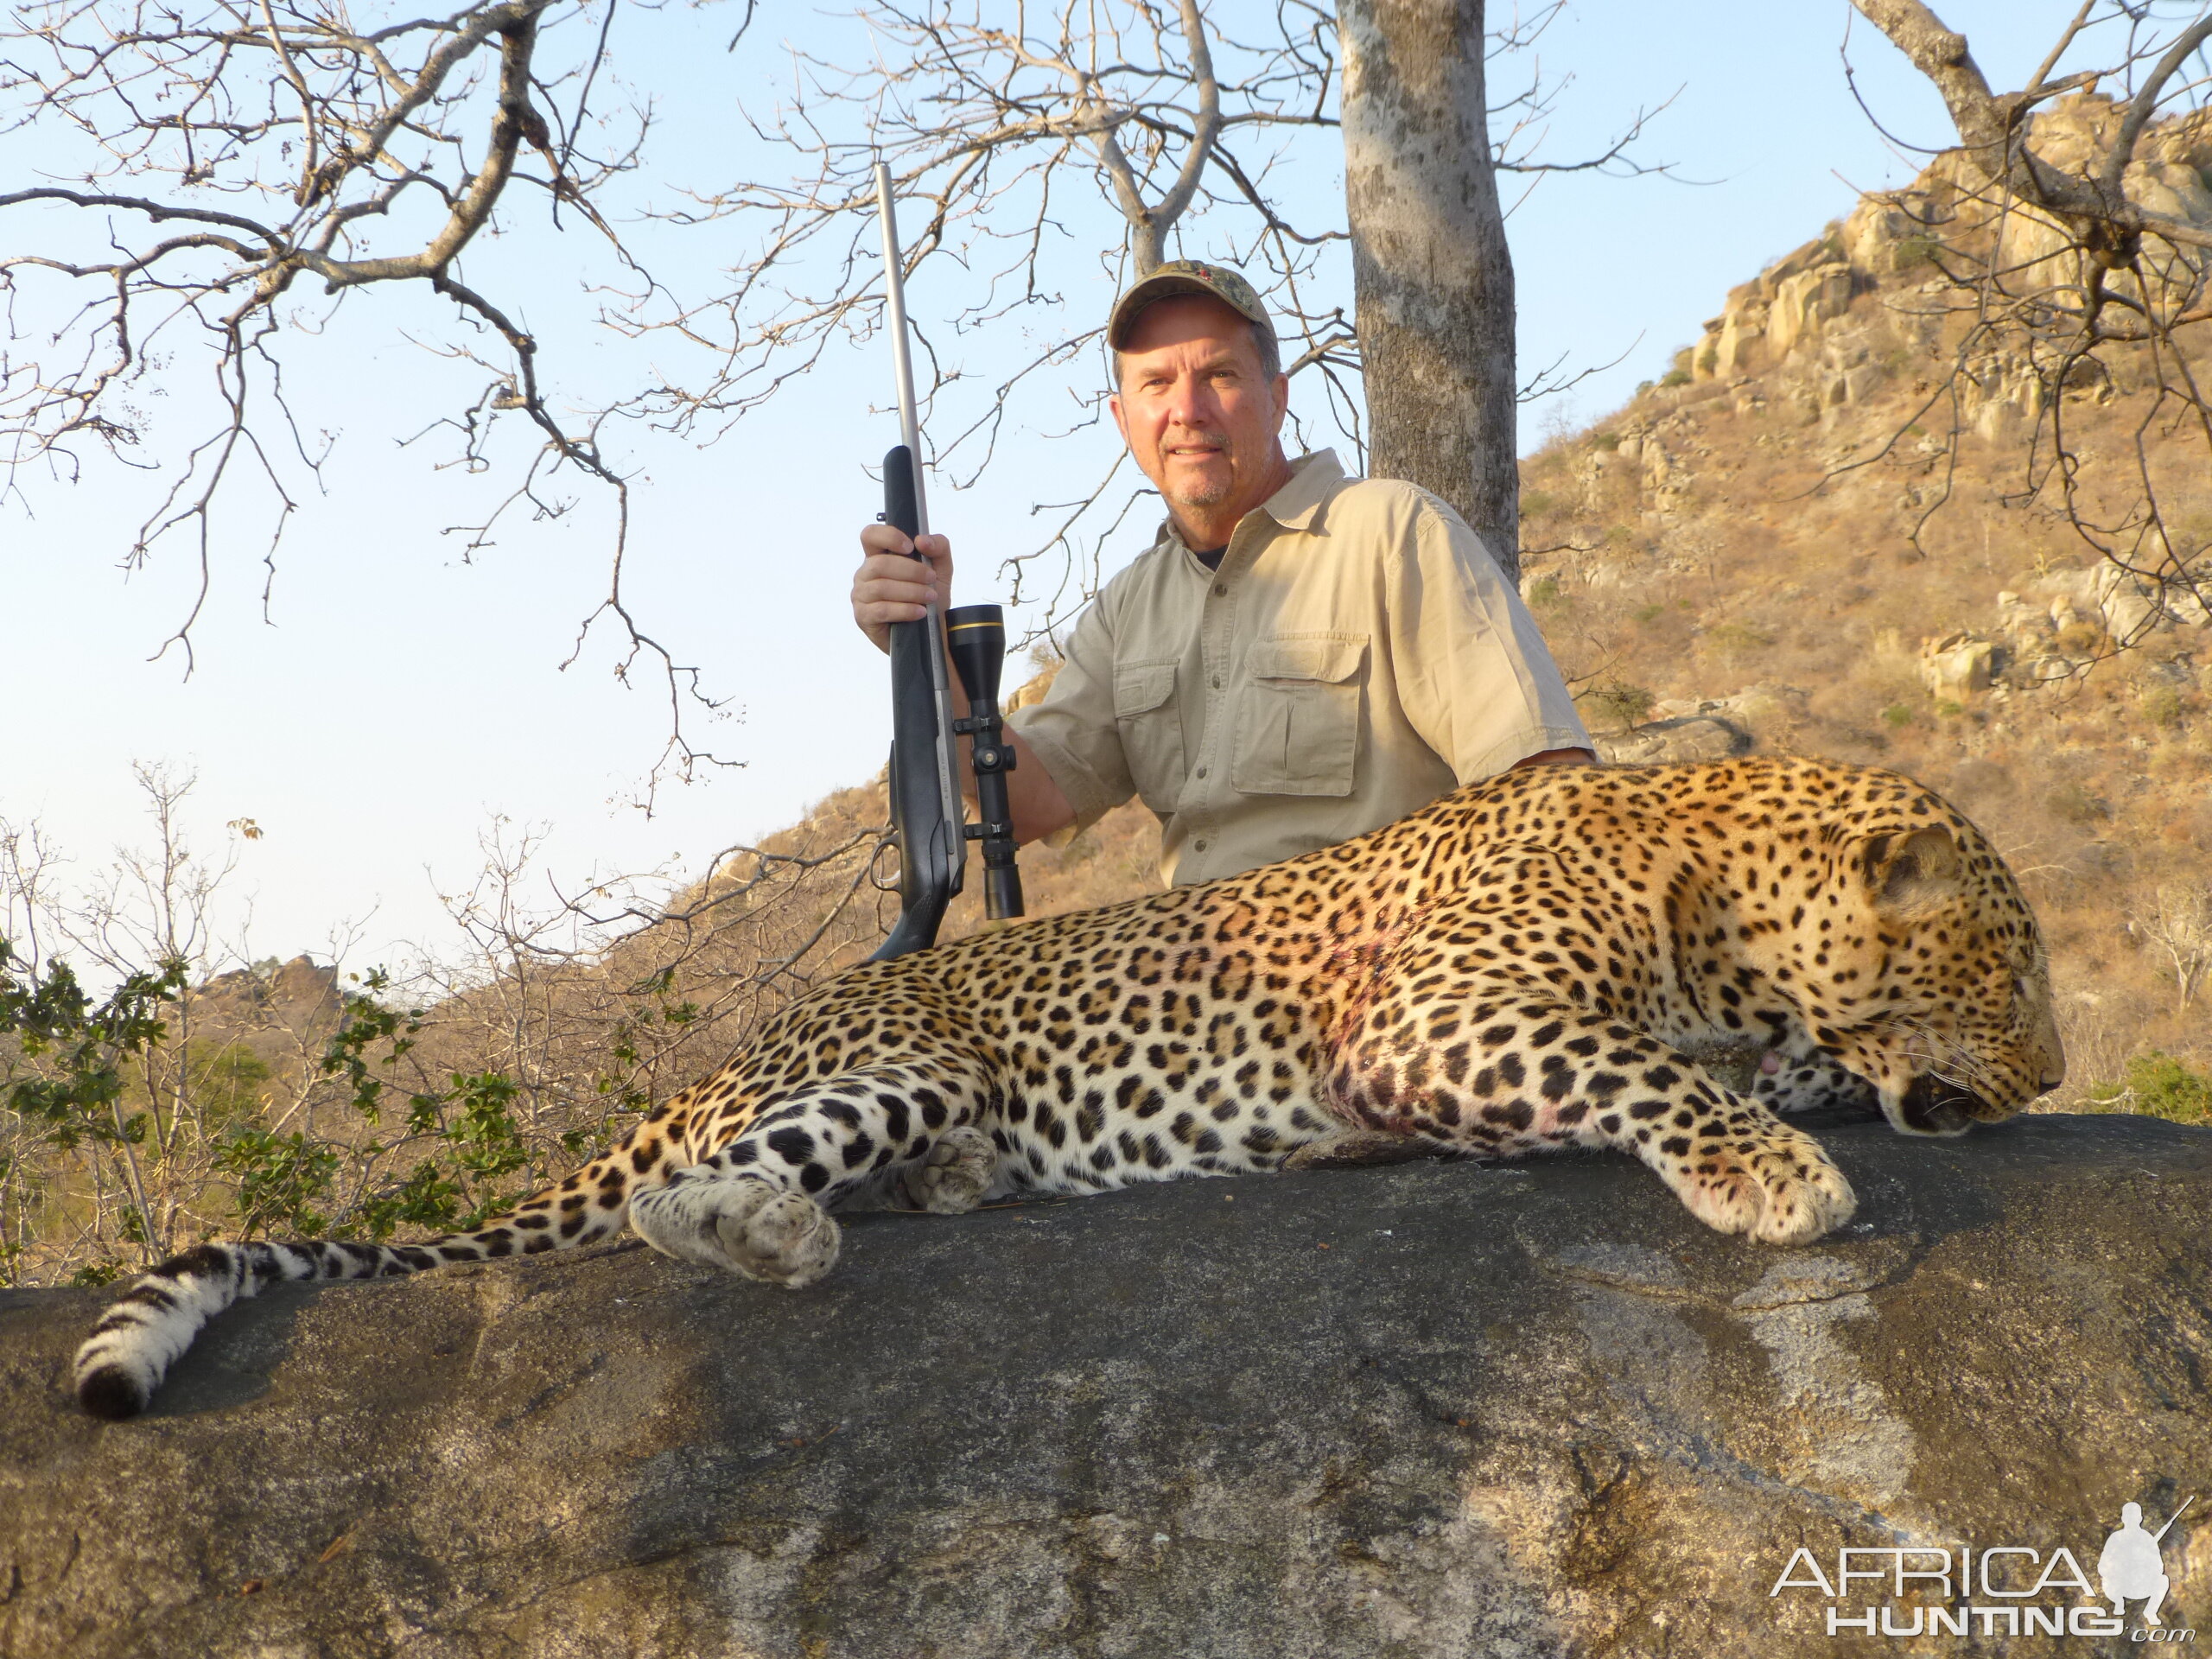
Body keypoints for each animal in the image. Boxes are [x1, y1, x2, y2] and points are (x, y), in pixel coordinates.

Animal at [78, 760, 2061, 1424]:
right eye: (2018, 962)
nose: (2051, 1071)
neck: (1714, 891)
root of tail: (730, 1046)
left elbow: (1749, 1057)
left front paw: (1817, 1088)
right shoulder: (1430, 1016)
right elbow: (1638, 1066)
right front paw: (1771, 1170)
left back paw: (947, 1195)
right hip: (891, 1062)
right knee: (673, 1199)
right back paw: (785, 1237)